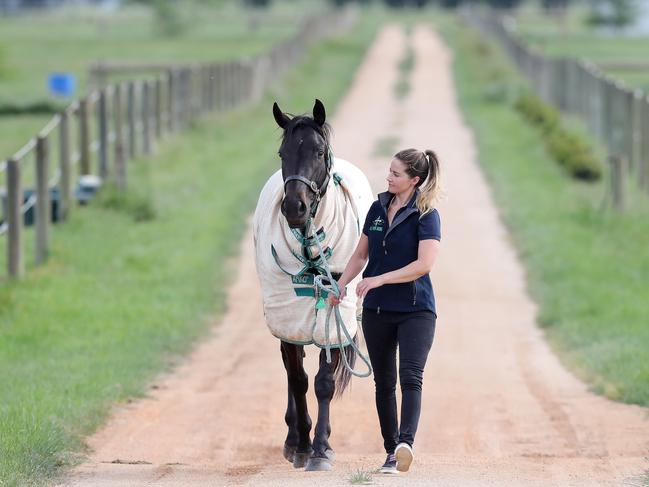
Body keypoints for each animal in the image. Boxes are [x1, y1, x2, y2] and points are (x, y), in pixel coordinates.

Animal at [253, 100, 374, 472]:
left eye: (319, 152)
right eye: (283, 153)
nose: (295, 207)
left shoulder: (333, 318)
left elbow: (323, 383)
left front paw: (321, 448)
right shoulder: (290, 317)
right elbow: (298, 379)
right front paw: (302, 445)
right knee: (291, 371)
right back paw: (293, 437)